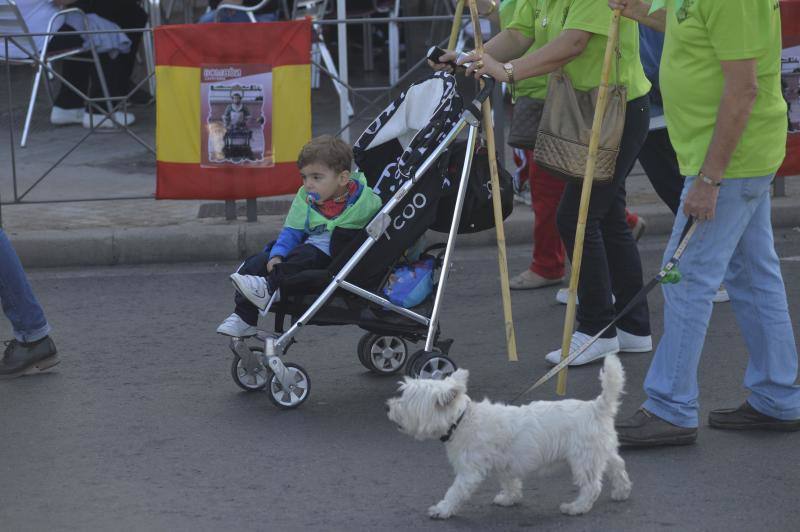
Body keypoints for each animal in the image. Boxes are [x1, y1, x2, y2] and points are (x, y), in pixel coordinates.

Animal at [386, 356, 632, 516]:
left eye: (406, 399)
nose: (388, 407)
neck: (462, 419)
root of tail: (597, 407)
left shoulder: (469, 471)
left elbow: (455, 491)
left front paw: (442, 509)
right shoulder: (504, 464)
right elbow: (510, 482)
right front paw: (509, 499)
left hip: (583, 459)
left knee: (592, 486)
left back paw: (576, 508)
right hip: (602, 451)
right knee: (618, 467)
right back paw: (621, 492)